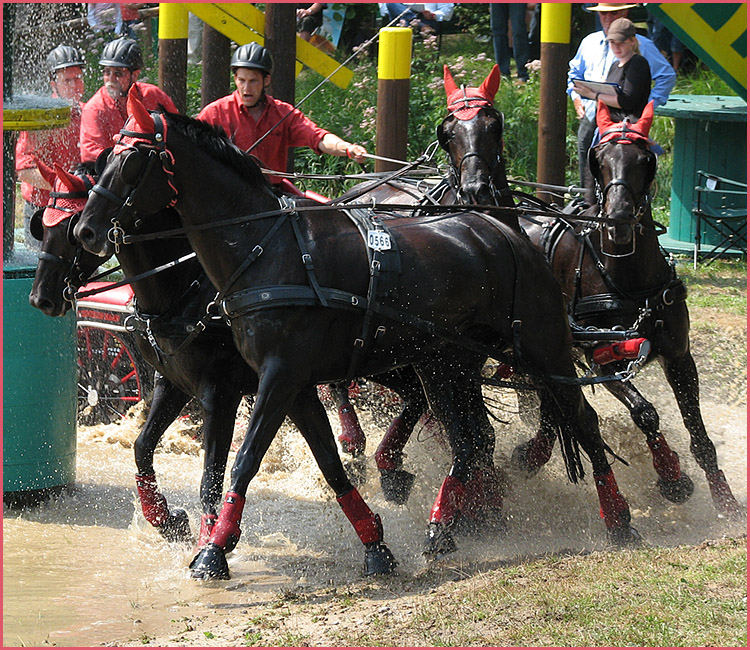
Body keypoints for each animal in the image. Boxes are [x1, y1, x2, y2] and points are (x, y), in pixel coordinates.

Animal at [75, 90, 640, 576]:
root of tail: (505, 229)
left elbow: (240, 463)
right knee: (471, 440)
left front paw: (213, 551)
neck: (266, 249)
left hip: (543, 351)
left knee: (581, 421)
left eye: (133, 162)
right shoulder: (281, 384)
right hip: (445, 364)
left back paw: (619, 519)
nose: (84, 229)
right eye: (99, 162)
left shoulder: (261, 381)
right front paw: (374, 545)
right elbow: (326, 462)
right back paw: (444, 527)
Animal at [440, 95, 748, 520]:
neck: (630, 280)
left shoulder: (679, 356)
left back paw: (534, 452)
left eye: (644, 158)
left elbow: (699, 437)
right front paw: (672, 477)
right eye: (599, 159)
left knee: (551, 402)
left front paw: (725, 502)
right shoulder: (602, 359)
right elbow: (646, 412)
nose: (617, 219)